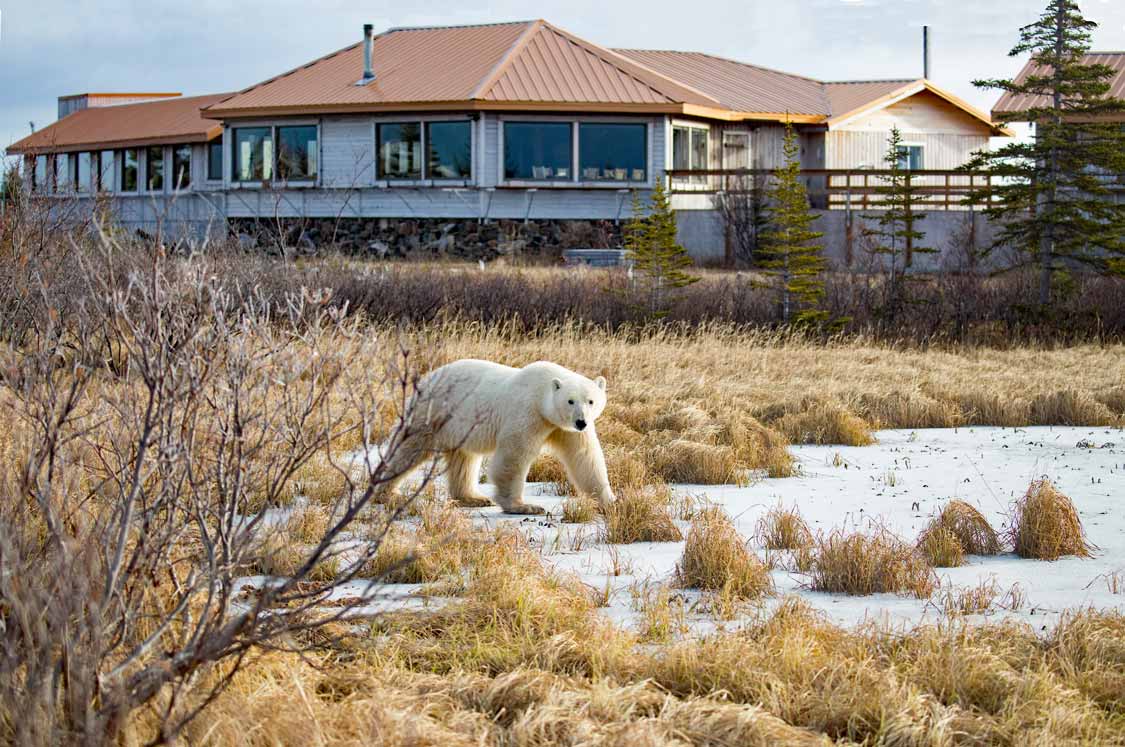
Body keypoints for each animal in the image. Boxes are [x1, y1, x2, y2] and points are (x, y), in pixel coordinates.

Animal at [384, 360, 616, 513]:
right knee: (409, 448)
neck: (542, 394)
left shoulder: (564, 428)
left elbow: (585, 457)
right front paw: (524, 506)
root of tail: (426, 379)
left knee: (464, 459)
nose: (581, 421)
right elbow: (514, 455)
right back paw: (388, 492)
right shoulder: (528, 413)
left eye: (591, 401)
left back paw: (473, 498)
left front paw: (610, 501)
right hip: (433, 412)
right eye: (570, 401)